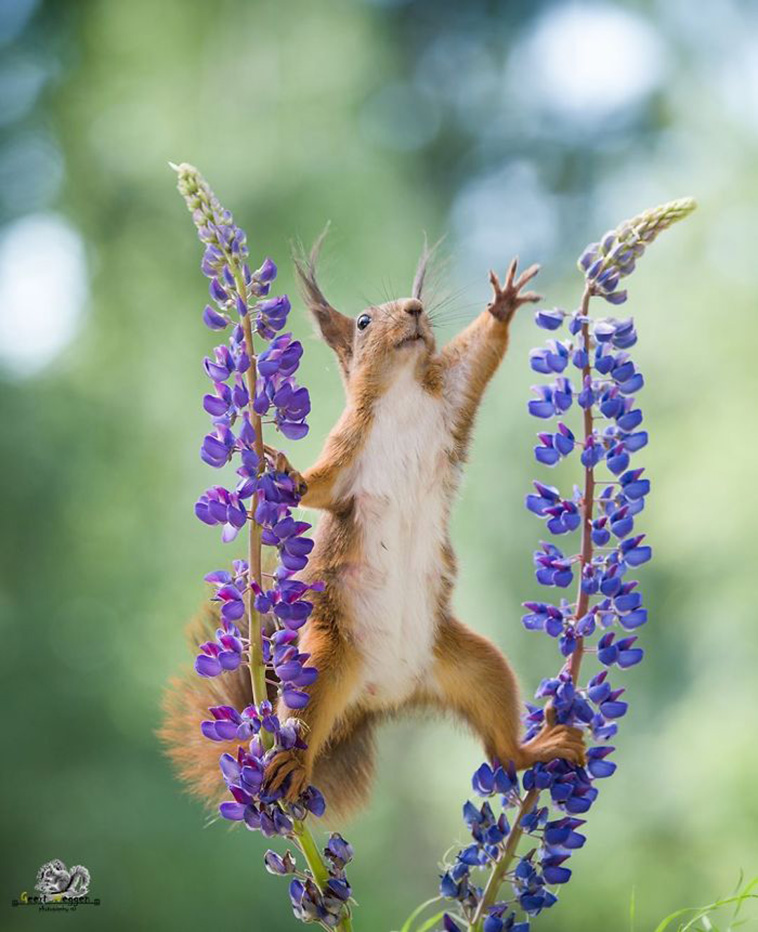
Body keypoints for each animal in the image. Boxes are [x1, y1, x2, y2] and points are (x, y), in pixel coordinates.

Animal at [161, 235, 585, 822]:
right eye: (363, 321)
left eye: (416, 304)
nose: (415, 309)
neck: (403, 395)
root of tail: (383, 696)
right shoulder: (347, 456)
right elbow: (316, 486)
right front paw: (282, 470)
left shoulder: (452, 395)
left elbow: (479, 356)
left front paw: (502, 305)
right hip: (322, 664)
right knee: (305, 726)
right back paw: (291, 765)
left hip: (477, 667)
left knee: (501, 745)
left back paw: (539, 747)